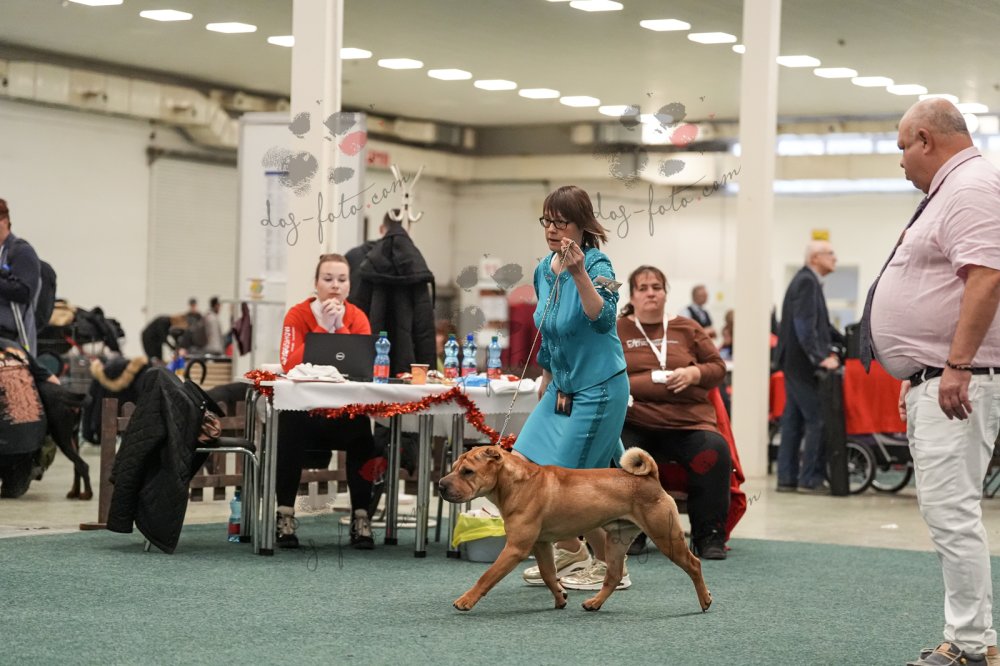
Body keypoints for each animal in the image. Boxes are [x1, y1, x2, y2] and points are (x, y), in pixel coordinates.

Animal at [438, 445, 713, 612]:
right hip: (617, 541)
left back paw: (705, 600)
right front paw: (560, 598)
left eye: (467, 471)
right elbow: (548, 574)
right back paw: (594, 603)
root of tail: (651, 477)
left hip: (666, 537)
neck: (515, 483)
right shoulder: (541, 544)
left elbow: (486, 576)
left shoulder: (516, 548)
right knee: (613, 576)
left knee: (694, 564)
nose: (440, 485)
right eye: (453, 467)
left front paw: (465, 600)